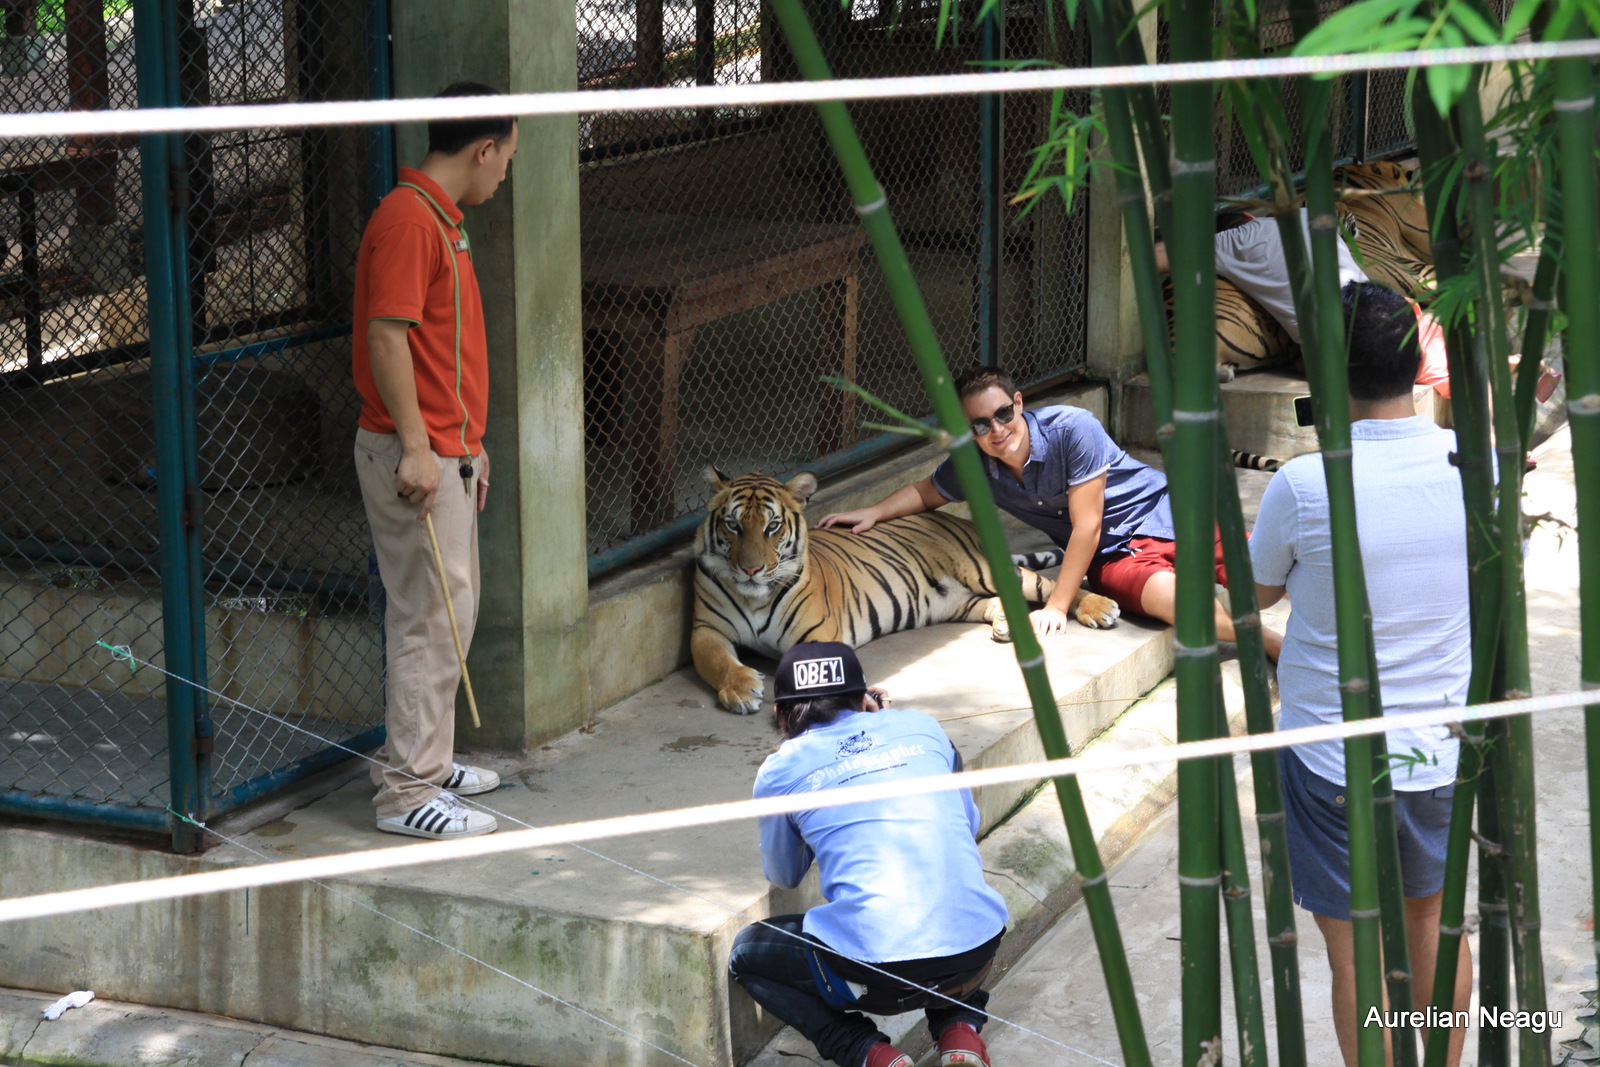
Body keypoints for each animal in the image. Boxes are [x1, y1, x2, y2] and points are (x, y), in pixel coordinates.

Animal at [692, 468, 1123, 715]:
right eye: (733, 526)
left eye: (772, 527)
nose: (751, 568)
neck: (755, 594)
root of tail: (958, 520)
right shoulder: (706, 629)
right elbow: (715, 660)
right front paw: (742, 689)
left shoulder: (816, 633)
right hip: (956, 602)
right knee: (995, 603)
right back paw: (1005, 625)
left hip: (984, 571)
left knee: (1046, 585)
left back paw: (1099, 608)